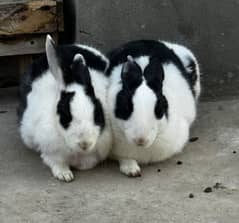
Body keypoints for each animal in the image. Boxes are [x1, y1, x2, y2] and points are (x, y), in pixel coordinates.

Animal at [18, 34, 112, 181]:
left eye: (98, 114)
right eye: (65, 115)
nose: (85, 143)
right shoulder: (49, 151)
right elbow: (55, 162)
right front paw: (65, 175)